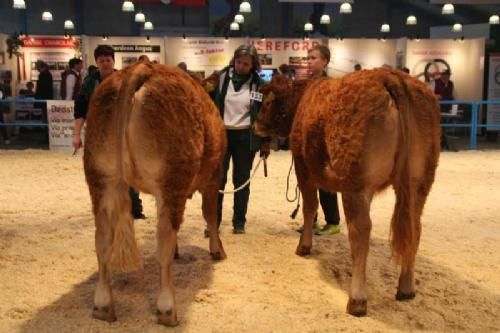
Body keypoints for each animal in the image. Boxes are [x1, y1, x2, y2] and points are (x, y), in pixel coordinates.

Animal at [83, 62, 227, 324]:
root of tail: (141, 66)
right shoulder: (214, 176)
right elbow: (210, 214)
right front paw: (217, 249)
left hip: (100, 177)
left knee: (102, 239)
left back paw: (103, 306)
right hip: (172, 179)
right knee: (164, 239)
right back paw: (167, 309)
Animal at [254, 67, 442, 314]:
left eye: (267, 102)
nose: (255, 125)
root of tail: (389, 75)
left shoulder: (303, 168)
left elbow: (309, 207)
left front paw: (304, 246)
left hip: (356, 184)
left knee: (361, 230)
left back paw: (357, 300)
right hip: (419, 183)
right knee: (414, 227)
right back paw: (406, 288)